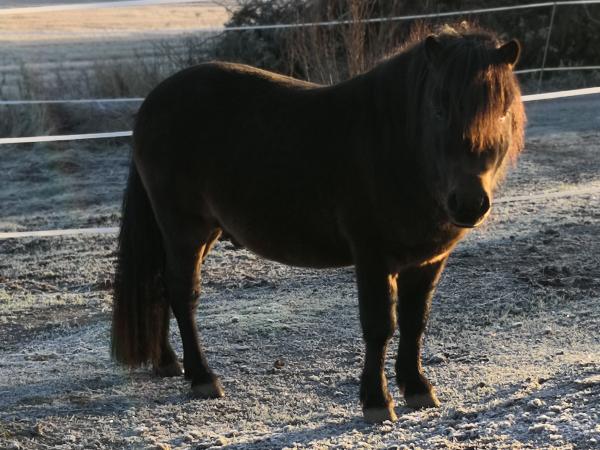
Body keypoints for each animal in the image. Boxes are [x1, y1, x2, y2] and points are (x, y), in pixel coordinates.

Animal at [111, 25, 525, 423]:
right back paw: (202, 377)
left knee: (161, 286)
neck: (395, 146)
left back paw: (167, 362)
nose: (469, 203)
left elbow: (414, 322)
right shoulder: (373, 257)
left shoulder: (427, 261)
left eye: (502, 112)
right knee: (182, 291)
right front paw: (377, 401)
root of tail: (153, 102)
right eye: (439, 110)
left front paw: (417, 387)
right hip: (185, 230)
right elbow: (379, 325)